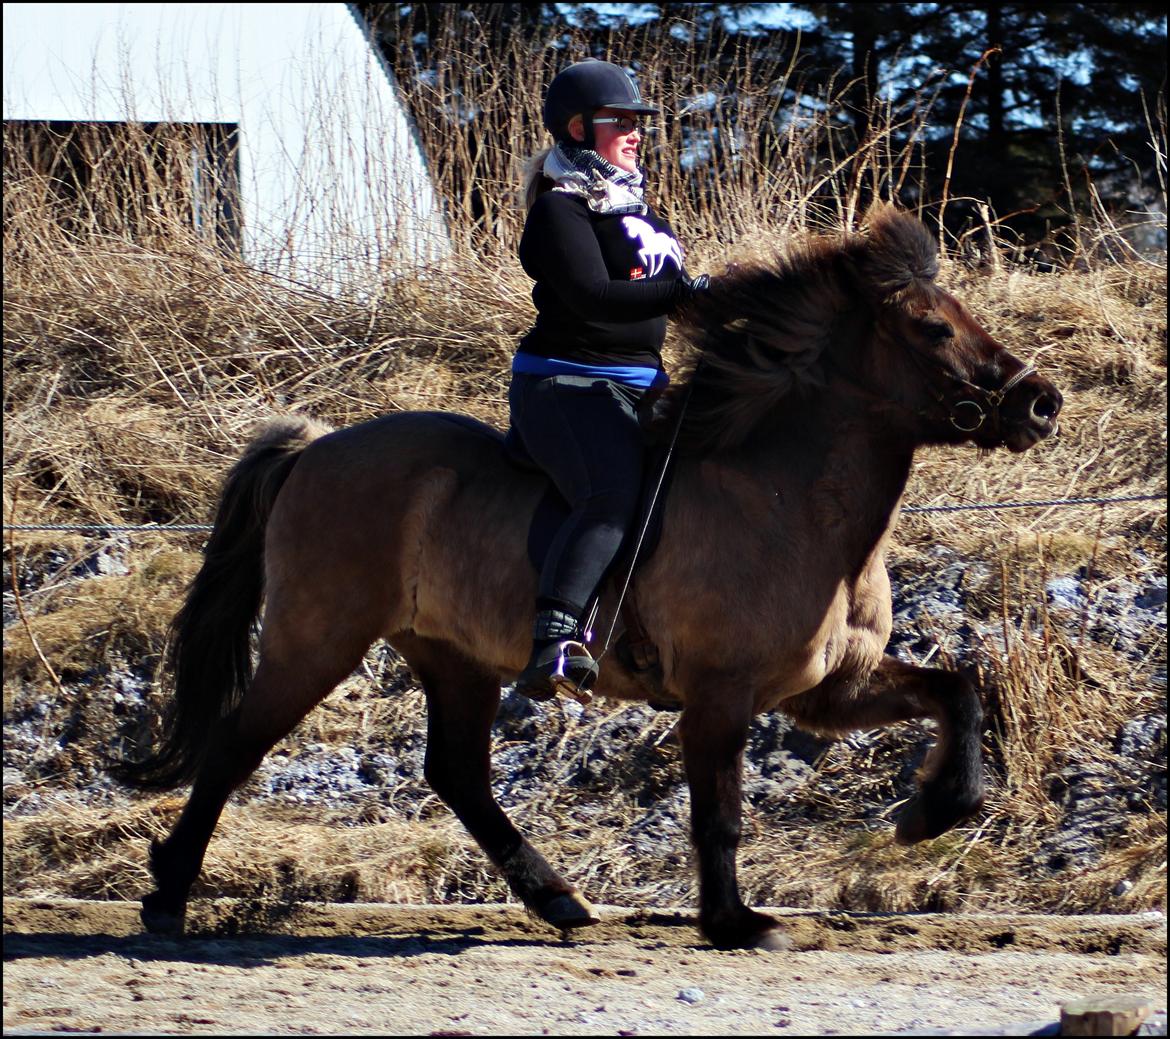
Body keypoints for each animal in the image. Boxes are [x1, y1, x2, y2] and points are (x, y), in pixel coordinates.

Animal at [116, 202, 1062, 950]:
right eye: (933, 328)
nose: (1041, 402)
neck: (790, 498)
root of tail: (313, 447)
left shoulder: (830, 689)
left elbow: (959, 690)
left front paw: (933, 811)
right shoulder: (722, 693)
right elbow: (719, 812)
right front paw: (736, 923)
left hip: (452, 657)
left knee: (457, 773)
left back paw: (559, 899)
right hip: (318, 638)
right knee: (236, 743)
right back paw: (167, 896)